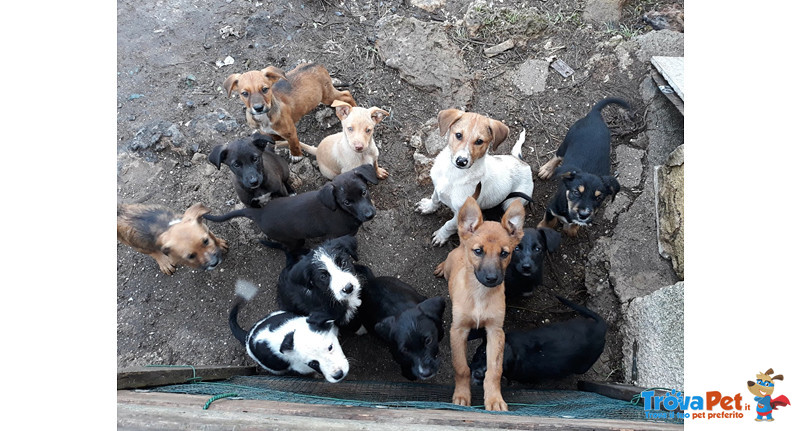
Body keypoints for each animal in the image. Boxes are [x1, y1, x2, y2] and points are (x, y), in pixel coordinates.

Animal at [206, 164, 382, 251]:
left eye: (364, 192)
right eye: (347, 202)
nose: (369, 215)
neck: (343, 212)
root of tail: (259, 213)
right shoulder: (333, 237)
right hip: (293, 240)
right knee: (286, 248)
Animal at [220, 65, 354, 163]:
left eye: (265, 89)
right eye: (244, 93)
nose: (258, 108)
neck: (265, 116)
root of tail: (317, 65)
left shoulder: (290, 131)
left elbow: (293, 143)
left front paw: (296, 156)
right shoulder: (266, 132)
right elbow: (272, 138)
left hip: (327, 96)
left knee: (346, 94)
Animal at [468, 296, 608, 386]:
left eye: (499, 368)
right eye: (483, 352)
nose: (478, 374)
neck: (515, 349)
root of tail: (601, 327)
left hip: (583, 366)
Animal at [536, 98, 632, 238]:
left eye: (599, 197)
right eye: (576, 192)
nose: (583, 215)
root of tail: (594, 115)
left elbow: (573, 225)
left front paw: (571, 228)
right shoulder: (552, 207)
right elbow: (548, 222)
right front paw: (543, 228)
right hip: (566, 141)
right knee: (557, 156)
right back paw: (546, 170)